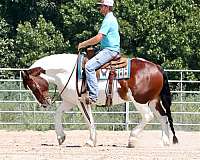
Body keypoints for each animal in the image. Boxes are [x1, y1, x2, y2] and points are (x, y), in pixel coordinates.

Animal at [21, 53, 178, 148]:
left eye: (33, 86)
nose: (44, 103)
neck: (68, 71)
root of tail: (157, 67)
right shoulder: (70, 101)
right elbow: (58, 114)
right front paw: (61, 137)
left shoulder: (82, 101)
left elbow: (88, 120)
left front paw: (90, 141)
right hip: (153, 101)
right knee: (163, 117)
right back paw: (164, 141)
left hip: (140, 100)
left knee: (148, 116)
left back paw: (132, 139)